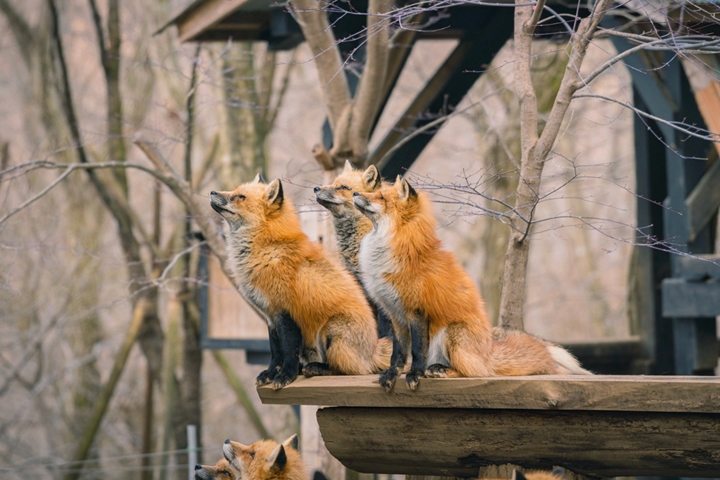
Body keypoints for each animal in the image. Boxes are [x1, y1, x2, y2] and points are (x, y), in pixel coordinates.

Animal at [210, 174, 388, 388]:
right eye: (235, 191)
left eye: (241, 197)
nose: (212, 192)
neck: (268, 251)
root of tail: (373, 351)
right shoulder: (270, 315)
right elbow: (275, 352)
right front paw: (270, 374)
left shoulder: (286, 311)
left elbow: (288, 350)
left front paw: (285, 376)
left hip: (331, 331)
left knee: (348, 370)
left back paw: (317, 368)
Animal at [352, 178, 588, 392]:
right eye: (376, 193)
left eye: (381, 198)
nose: (354, 192)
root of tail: (487, 353)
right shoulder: (395, 313)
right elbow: (398, 353)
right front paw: (392, 374)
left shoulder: (416, 311)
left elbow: (418, 351)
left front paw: (414, 375)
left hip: (452, 332)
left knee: (475, 372)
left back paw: (439, 370)